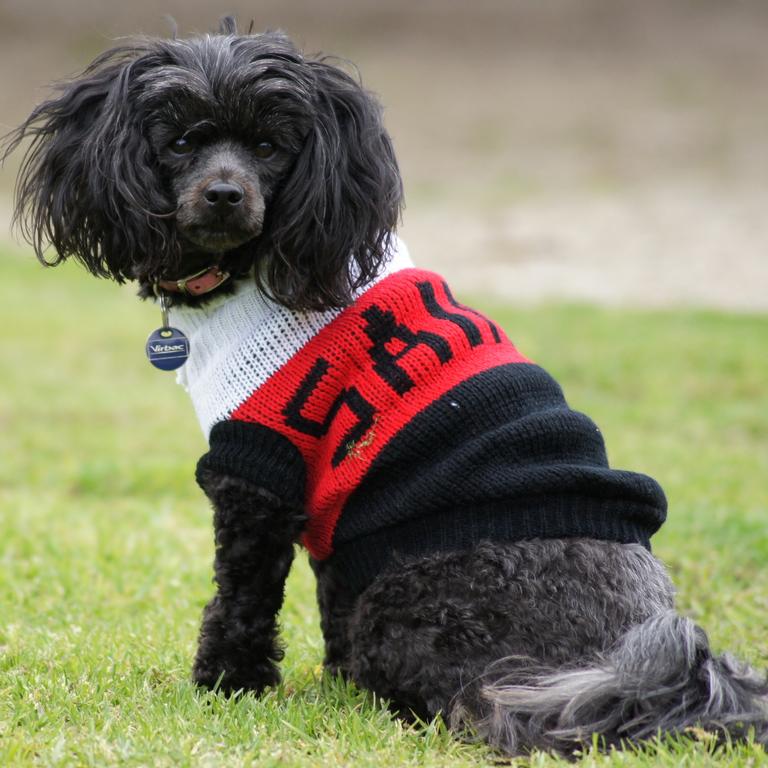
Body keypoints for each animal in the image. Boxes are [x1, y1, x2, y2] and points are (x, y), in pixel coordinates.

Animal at [4, 18, 760, 756]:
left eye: (269, 147)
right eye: (182, 142)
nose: (224, 194)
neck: (256, 268)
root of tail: (618, 665)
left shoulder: (259, 466)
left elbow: (242, 597)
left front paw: (226, 684)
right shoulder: (340, 518)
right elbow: (325, 593)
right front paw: (325, 681)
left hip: (408, 598)